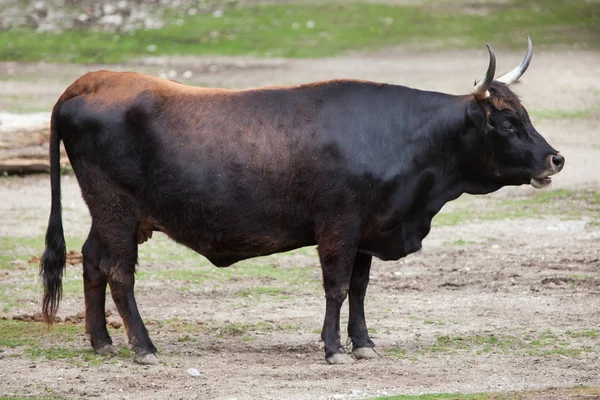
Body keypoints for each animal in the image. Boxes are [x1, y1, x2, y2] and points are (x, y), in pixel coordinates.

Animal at [41, 38, 564, 366]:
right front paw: (333, 349)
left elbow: (359, 289)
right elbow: (336, 287)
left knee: (92, 261)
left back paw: (102, 341)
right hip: (116, 210)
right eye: (505, 122)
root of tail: (89, 82)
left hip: (110, 215)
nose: (555, 159)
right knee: (119, 274)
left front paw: (363, 343)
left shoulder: (369, 230)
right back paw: (143, 347)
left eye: (526, 115)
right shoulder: (339, 225)